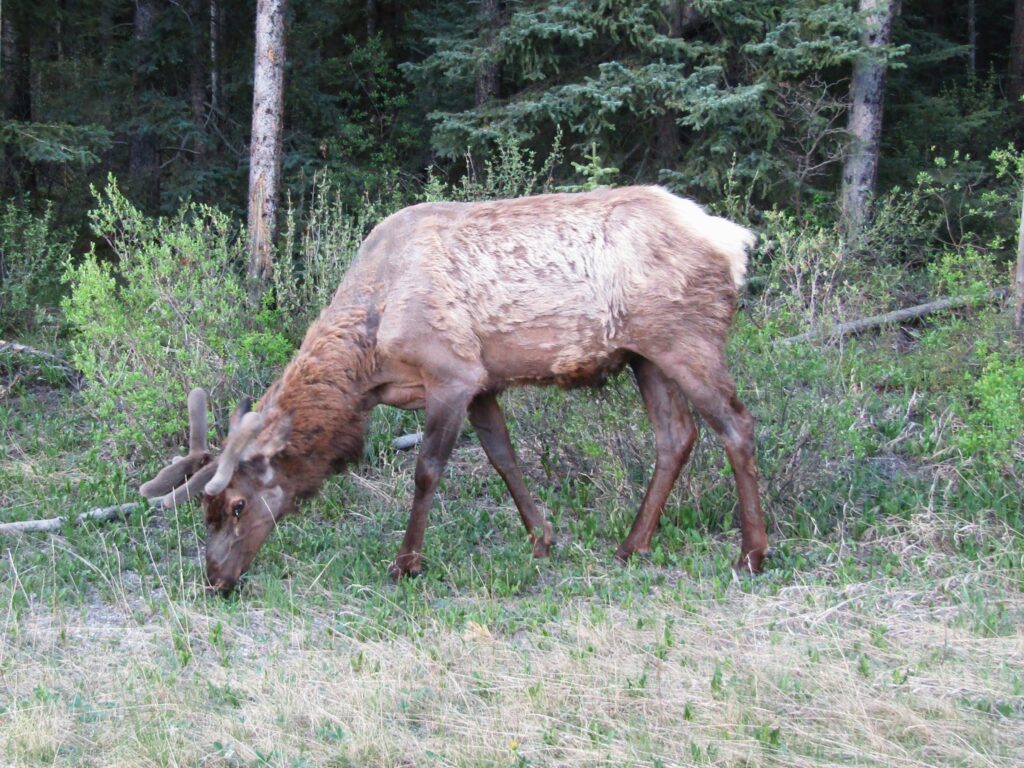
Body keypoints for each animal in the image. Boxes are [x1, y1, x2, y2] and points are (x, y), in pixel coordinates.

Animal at [140, 186, 765, 593]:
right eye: (208, 511)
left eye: (238, 504)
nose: (215, 579)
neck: (368, 360)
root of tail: (733, 240)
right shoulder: (483, 382)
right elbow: (504, 458)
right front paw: (542, 539)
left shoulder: (451, 374)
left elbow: (427, 471)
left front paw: (406, 563)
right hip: (646, 355)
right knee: (676, 435)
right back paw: (634, 545)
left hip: (686, 339)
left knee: (736, 423)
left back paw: (752, 553)